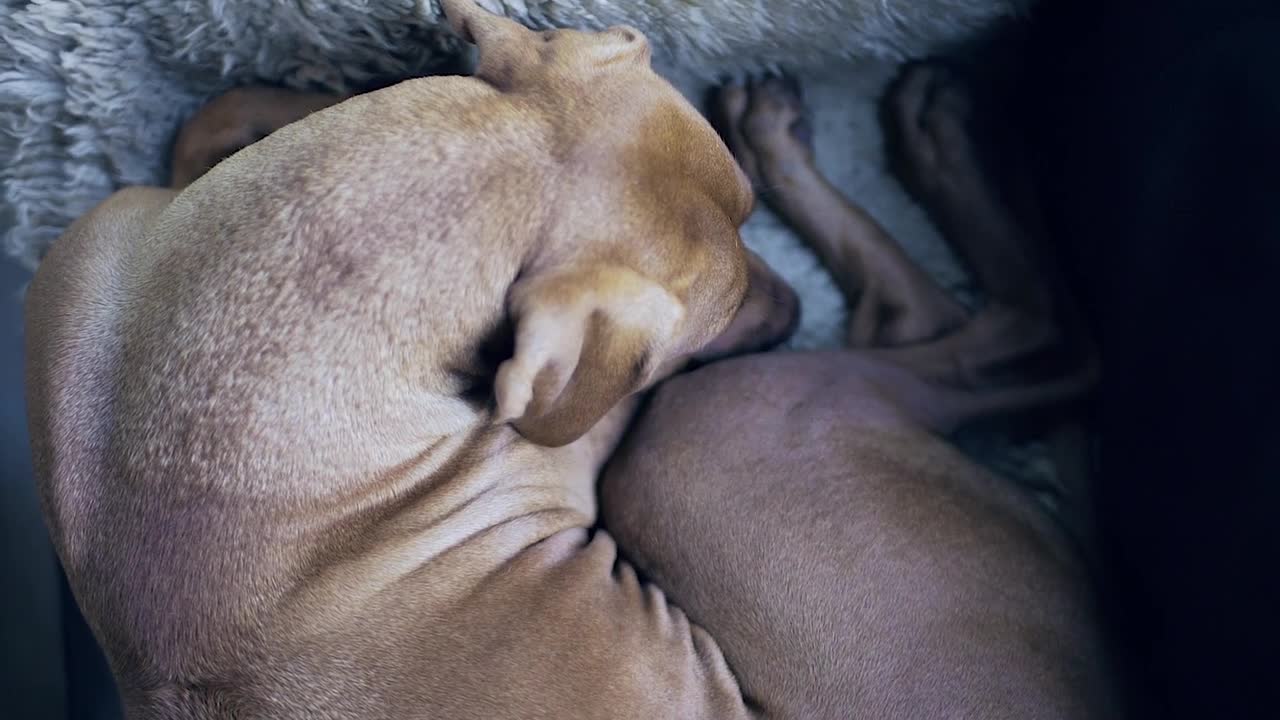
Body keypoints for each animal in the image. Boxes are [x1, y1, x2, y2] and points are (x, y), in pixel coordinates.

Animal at [24, 1, 1116, 717]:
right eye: (685, 333)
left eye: (748, 226)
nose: (788, 311)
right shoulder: (589, 426)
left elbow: (215, 131)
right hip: (726, 428)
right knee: (990, 325)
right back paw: (928, 130)